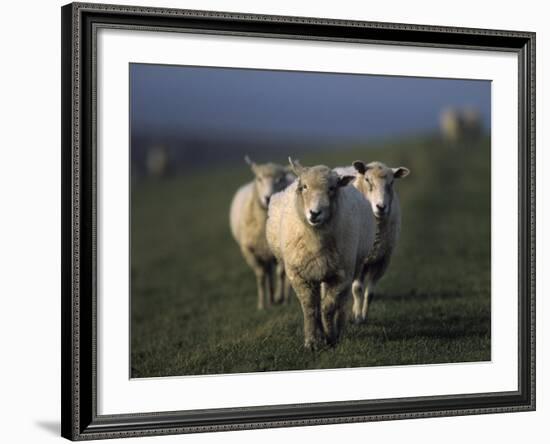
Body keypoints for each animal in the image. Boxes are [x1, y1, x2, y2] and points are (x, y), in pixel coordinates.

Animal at [230, 158, 296, 310]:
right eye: (259, 179)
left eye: (280, 179)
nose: (267, 198)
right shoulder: (249, 250)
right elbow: (261, 276)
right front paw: (261, 305)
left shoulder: (280, 249)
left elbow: (281, 274)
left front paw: (282, 298)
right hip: (264, 251)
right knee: (268, 273)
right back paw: (270, 299)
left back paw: (280, 297)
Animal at [266, 158, 378, 348]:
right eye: (304, 186)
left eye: (332, 188)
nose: (314, 213)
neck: (316, 240)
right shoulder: (299, 275)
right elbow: (311, 307)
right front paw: (312, 341)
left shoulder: (341, 276)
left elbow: (329, 307)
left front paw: (330, 336)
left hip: (351, 267)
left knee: (342, 302)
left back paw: (339, 328)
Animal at [348, 160, 412, 322]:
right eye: (367, 180)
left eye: (392, 182)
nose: (381, 207)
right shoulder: (359, 260)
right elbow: (357, 289)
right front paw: (357, 318)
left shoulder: (382, 261)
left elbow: (369, 293)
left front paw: (363, 316)